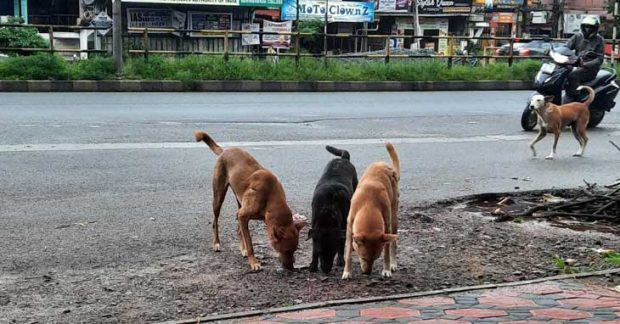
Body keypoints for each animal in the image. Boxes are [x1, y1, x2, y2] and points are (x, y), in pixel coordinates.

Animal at [195, 130, 306, 272]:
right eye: (286, 251)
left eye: (295, 250)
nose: (291, 269)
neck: (270, 197)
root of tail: (225, 150)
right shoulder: (243, 215)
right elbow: (249, 242)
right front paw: (253, 262)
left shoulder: (243, 215)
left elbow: (243, 233)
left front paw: (247, 253)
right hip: (218, 196)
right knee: (215, 221)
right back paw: (216, 243)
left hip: (239, 201)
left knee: (238, 227)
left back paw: (242, 249)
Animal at [308, 146, 358, 274]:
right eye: (320, 252)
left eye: (333, 253)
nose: (325, 270)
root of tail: (343, 159)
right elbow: (313, 248)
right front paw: (313, 265)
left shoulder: (342, 227)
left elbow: (341, 244)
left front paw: (341, 259)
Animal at [342, 143, 400, 280]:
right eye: (363, 257)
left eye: (376, 258)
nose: (367, 273)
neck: (369, 205)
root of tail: (385, 165)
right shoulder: (350, 226)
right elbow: (348, 253)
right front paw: (347, 271)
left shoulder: (386, 227)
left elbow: (386, 251)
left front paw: (386, 269)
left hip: (394, 217)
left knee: (393, 244)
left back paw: (393, 263)